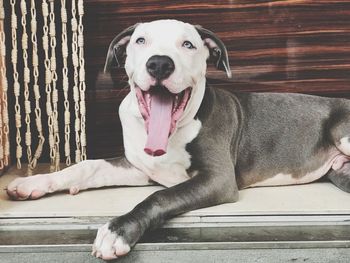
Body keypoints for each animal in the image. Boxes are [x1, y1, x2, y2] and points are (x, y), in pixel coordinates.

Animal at [5, 19, 350, 260]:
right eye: (140, 41)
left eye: (188, 44)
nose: (159, 63)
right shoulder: (138, 166)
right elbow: (86, 166)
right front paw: (32, 183)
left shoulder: (217, 179)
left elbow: (159, 197)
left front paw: (117, 231)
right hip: (340, 173)